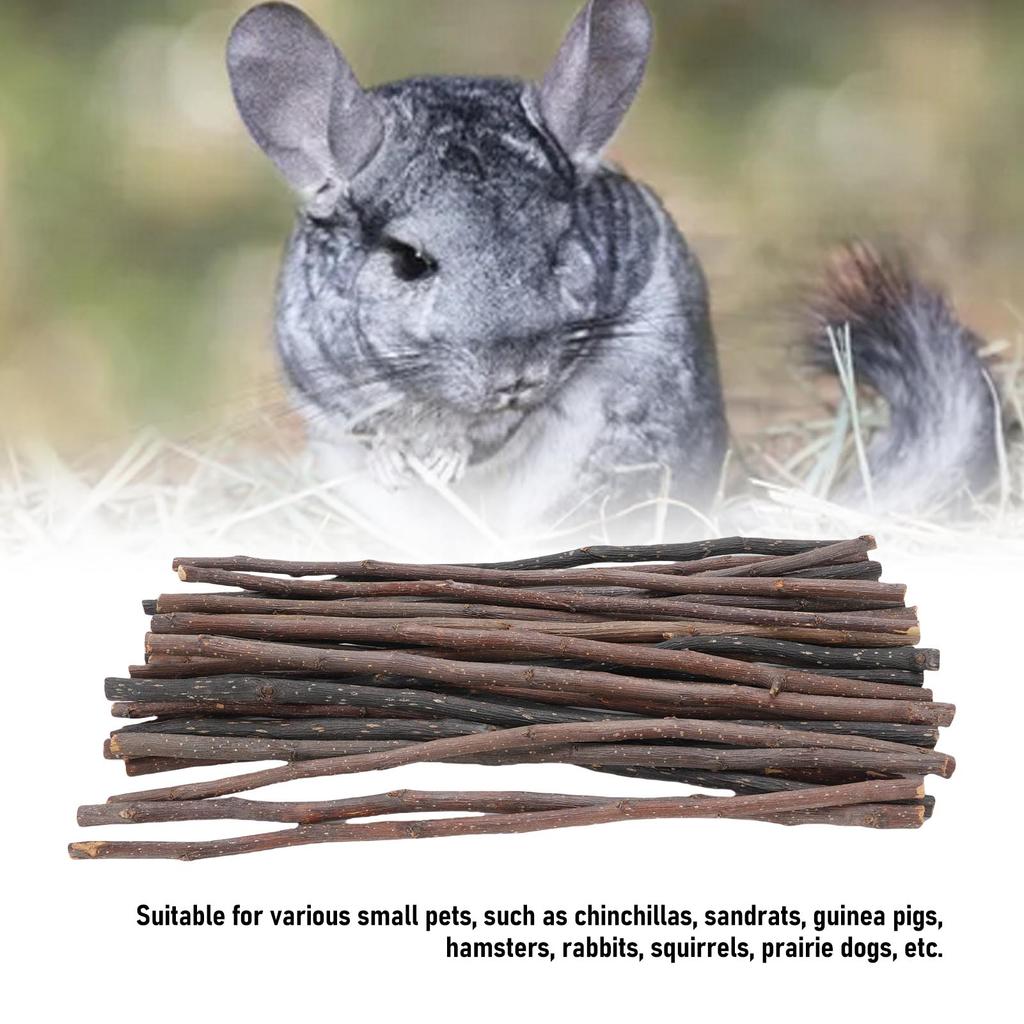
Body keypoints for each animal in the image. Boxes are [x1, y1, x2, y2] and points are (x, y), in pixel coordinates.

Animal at [226, 0, 1002, 535]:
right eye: (408, 260)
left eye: (557, 246)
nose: (517, 376)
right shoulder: (321, 381)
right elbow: (373, 423)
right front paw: (401, 459)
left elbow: (483, 435)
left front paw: (443, 458)